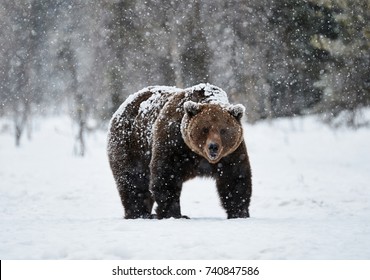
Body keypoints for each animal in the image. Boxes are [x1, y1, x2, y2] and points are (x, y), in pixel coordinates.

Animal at [107, 82, 251, 219]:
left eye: (223, 130)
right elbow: (166, 176)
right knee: (134, 181)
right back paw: (139, 213)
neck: (198, 155)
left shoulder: (231, 153)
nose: (213, 146)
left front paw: (239, 213)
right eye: (205, 129)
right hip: (131, 145)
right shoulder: (173, 142)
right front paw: (174, 213)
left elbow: (235, 179)